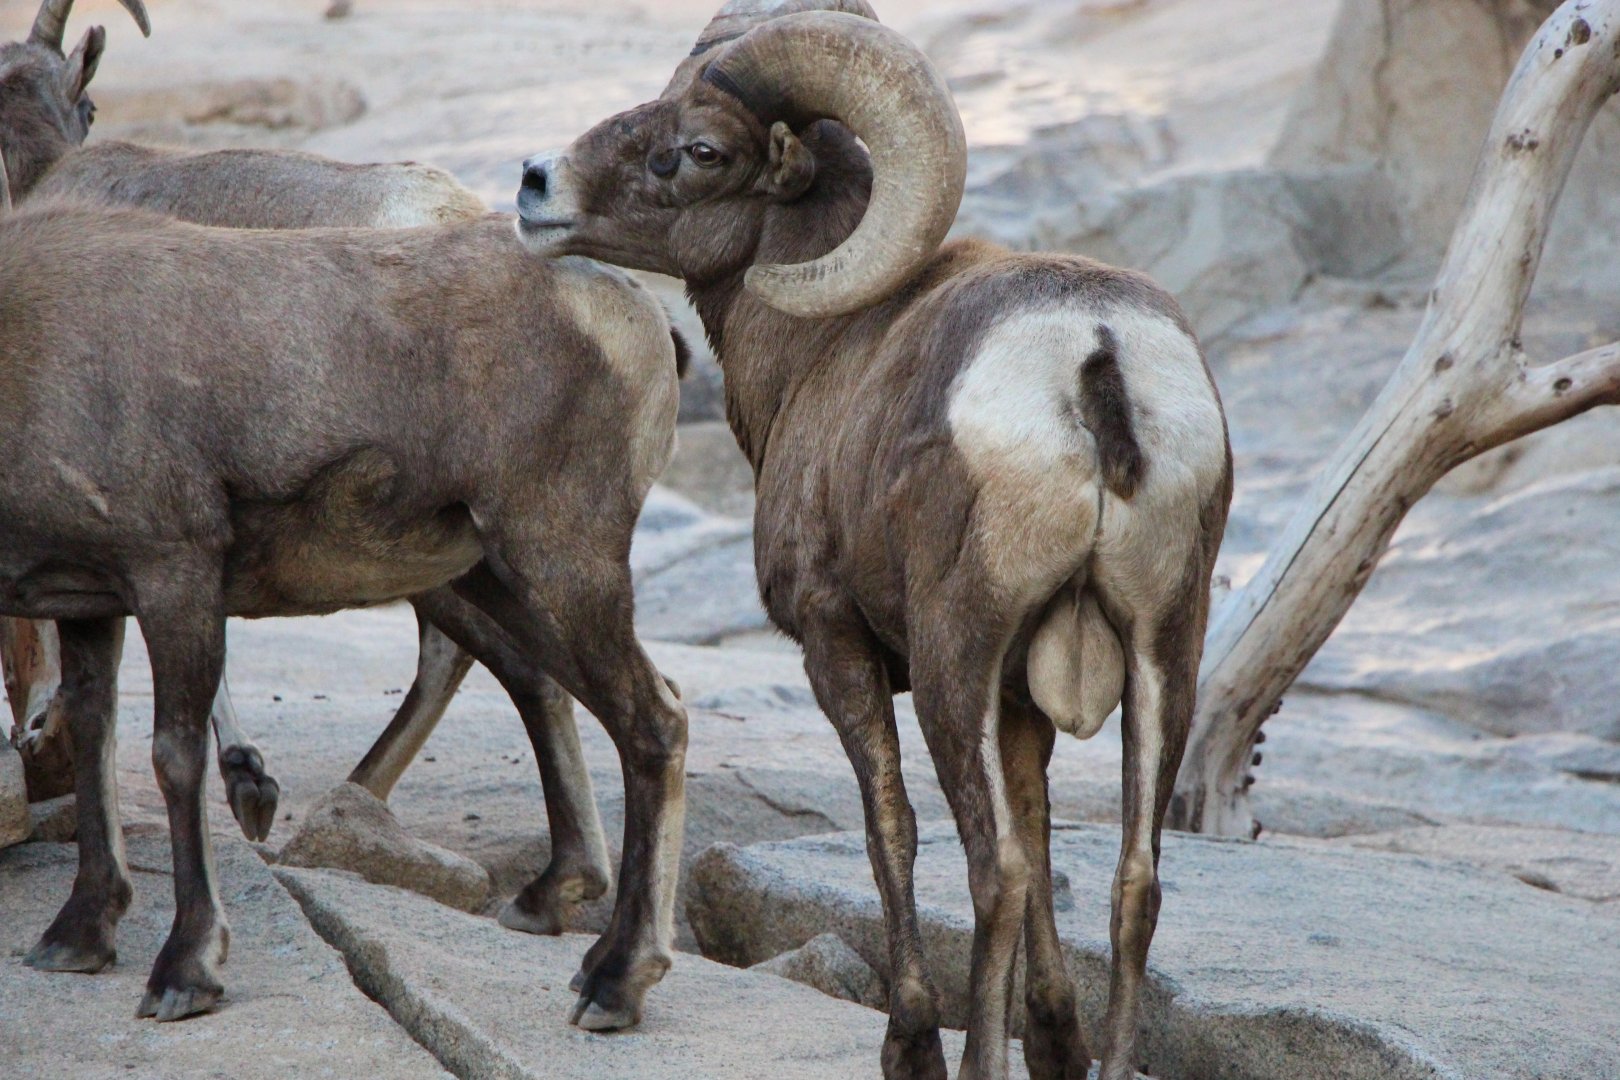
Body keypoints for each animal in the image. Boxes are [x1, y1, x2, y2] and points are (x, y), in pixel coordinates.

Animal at [0, 173, 688, 1029]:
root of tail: (642, 321)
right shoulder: (91, 600)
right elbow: (95, 739)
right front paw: (76, 937)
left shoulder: (174, 570)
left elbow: (174, 759)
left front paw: (185, 972)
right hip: (496, 575)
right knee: (568, 693)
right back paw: (557, 915)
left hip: (560, 557)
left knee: (651, 720)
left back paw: (614, 983)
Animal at [513, 3, 1232, 1078]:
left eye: (700, 149)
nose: (535, 185)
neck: (817, 353)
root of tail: (1093, 355)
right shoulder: (1024, 700)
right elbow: (1043, 830)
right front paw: (1052, 1042)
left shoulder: (836, 644)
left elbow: (889, 828)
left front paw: (910, 1046)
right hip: (1162, 652)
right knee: (1130, 881)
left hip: (951, 659)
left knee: (995, 869)